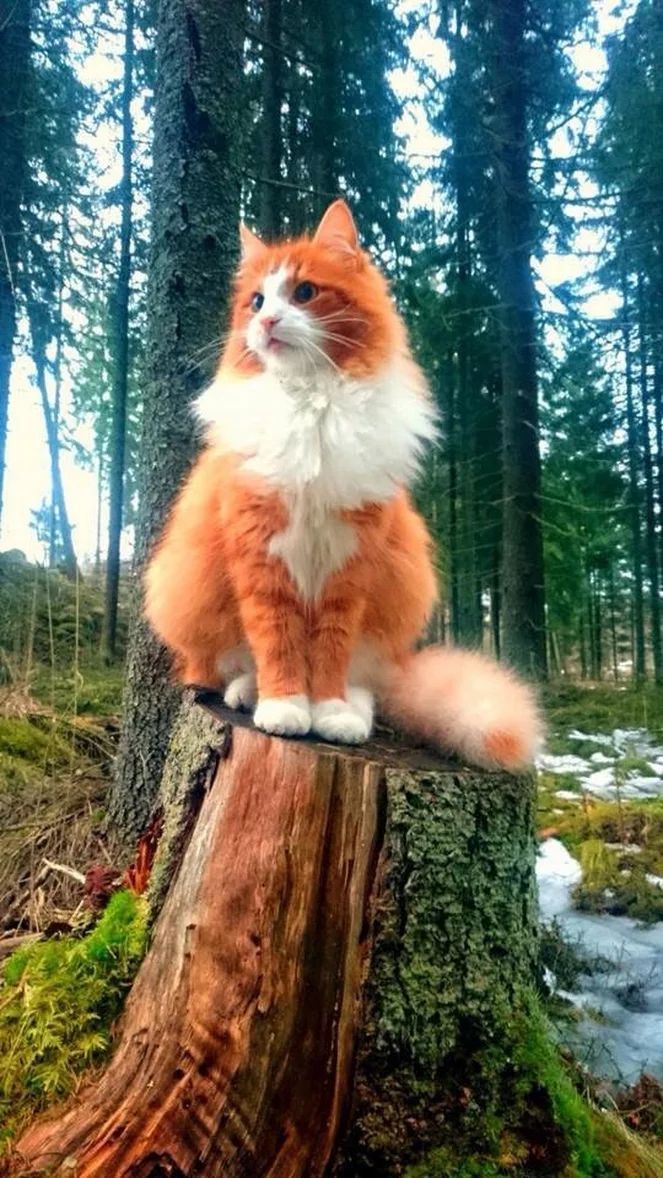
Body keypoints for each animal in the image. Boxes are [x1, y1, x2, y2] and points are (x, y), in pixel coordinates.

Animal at [144, 202, 539, 772]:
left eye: (304, 293)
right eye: (257, 301)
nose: (266, 321)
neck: (312, 401)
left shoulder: (349, 566)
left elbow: (330, 651)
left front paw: (326, 711)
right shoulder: (262, 557)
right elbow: (278, 642)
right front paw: (285, 706)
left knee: (368, 685)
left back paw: (350, 713)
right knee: (232, 666)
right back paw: (249, 693)